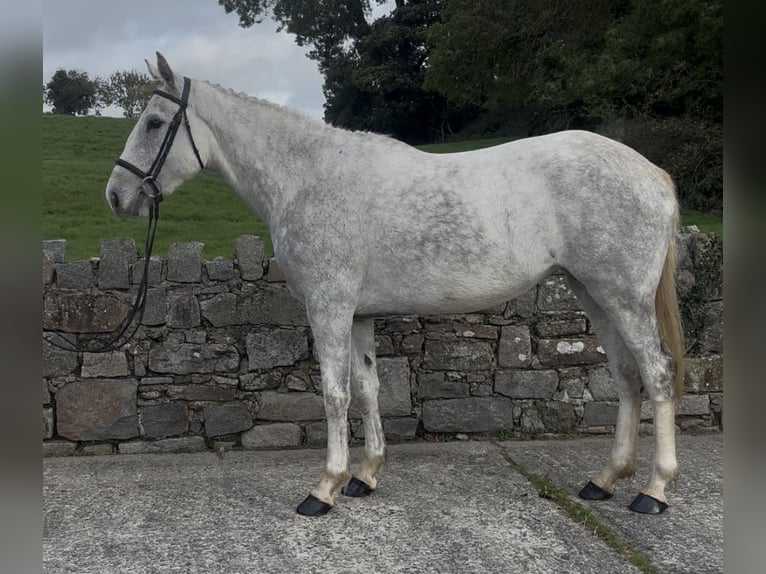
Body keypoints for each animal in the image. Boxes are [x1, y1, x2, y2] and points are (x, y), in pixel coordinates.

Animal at [106, 52, 684, 517]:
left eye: (154, 122)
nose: (116, 196)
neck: (307, 179)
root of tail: (652, 173)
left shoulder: (329, 308)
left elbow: (335, 394)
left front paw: (324, 488)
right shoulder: (358, 314)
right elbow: (366, 389)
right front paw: (364, 476)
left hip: (624, 299)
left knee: (656, 374)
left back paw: (653, 491)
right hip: (594, 295)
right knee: (626, 376)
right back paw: (604, 480)